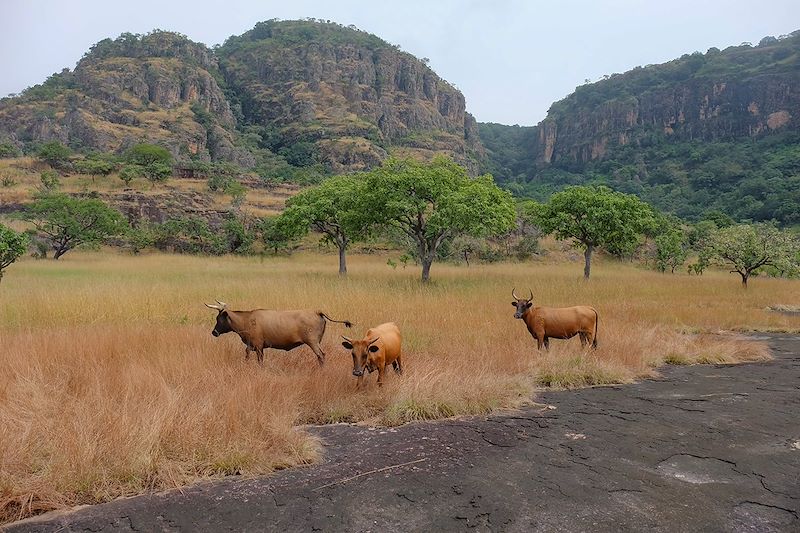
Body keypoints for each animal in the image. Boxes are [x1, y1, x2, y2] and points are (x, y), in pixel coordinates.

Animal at [206, 300, 354, 366]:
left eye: (218, 319)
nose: (214, 332)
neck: (246, 320)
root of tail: (317, 312)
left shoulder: (258, 347)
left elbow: (259, 361)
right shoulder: (252, 346)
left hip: (313, 342)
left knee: (321, 355)